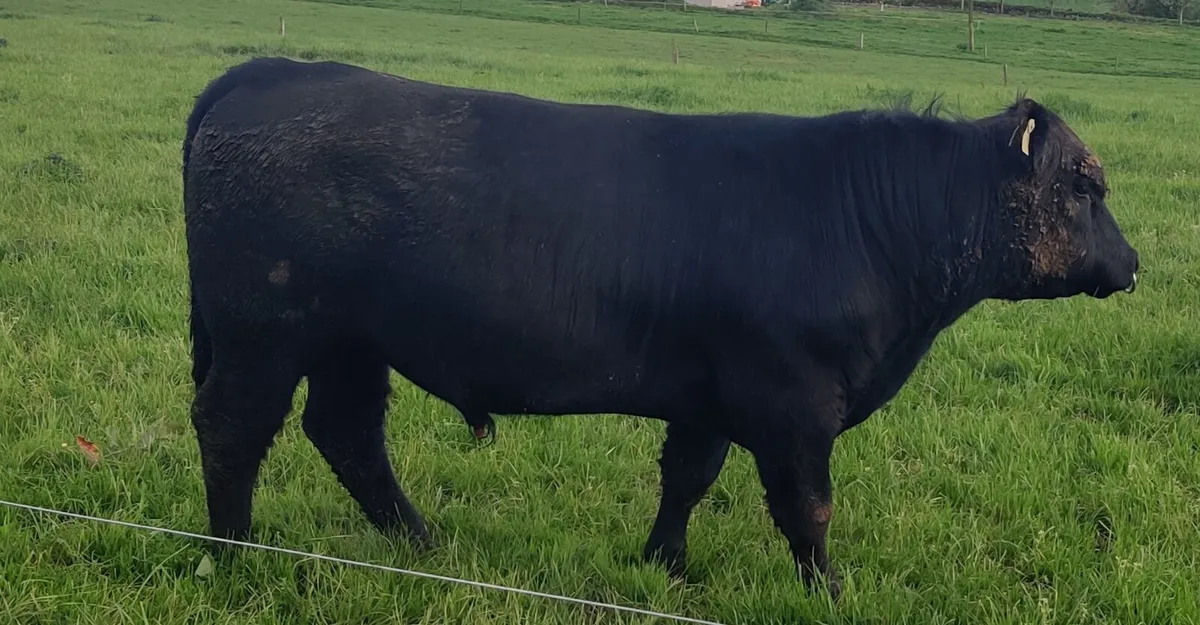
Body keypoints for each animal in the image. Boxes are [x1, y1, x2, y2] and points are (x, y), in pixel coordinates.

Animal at [182, 56, 1139, 598]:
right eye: (1084, 184)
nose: (1133, 264)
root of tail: (269, 70)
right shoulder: (793, 405)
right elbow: (807, 509)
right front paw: (830, 590)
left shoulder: (707, 394)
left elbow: (687, 477)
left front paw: (663, 564)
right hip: (264, 329)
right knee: (234, 427)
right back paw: (231, 551)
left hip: (351, 341)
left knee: (346, 433)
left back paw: (418, 541)